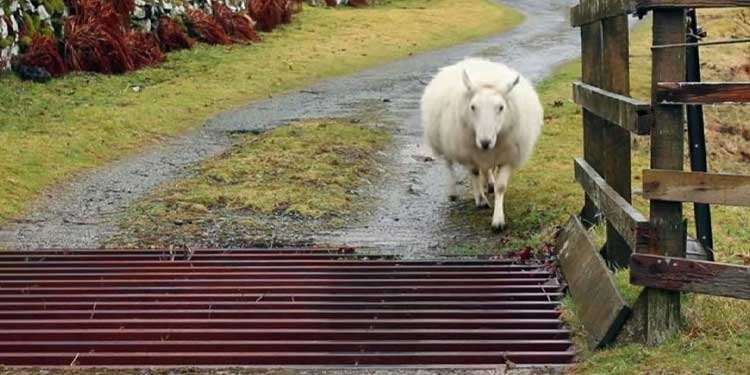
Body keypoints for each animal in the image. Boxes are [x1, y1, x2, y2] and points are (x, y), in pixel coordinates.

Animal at [420, 57, 544, 231]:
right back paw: (452, 191)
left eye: (501, 107)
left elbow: (500, 187)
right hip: (443, 139)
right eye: (473, 106)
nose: (485, 142)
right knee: (448, 164)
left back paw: (490, 182)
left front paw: (498, 220)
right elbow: (474, 173)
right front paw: (480, 200)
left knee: (486, 169)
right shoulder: (469, 153)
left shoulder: (508, 156)